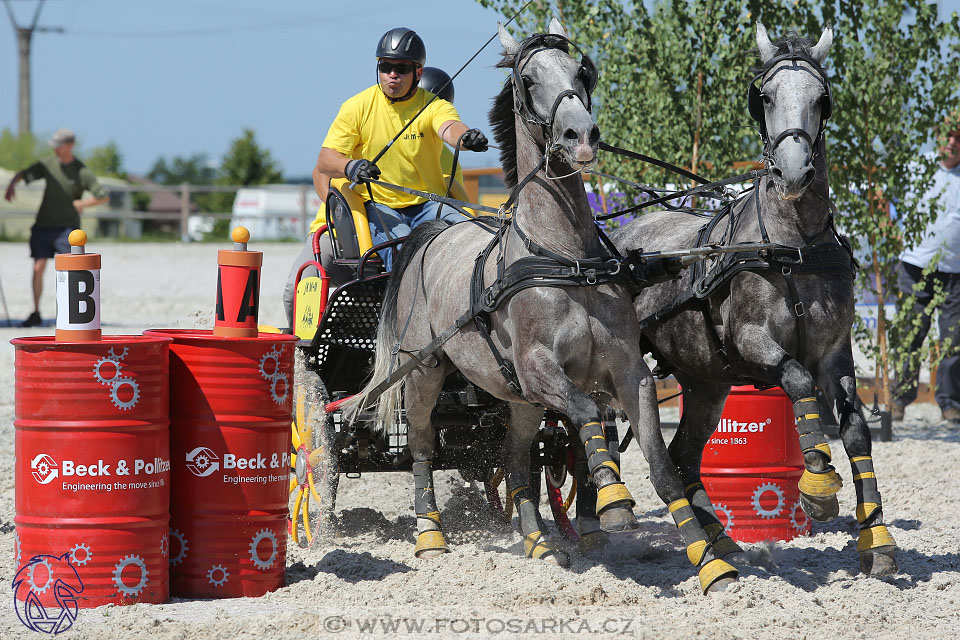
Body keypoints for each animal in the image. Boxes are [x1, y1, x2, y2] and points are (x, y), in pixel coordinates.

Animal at [348, 16, 740, 596]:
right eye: (529, 79)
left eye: (582, 71)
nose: (582, 135)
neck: (566, 258)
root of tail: (433, 234)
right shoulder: (540, 370)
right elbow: (585, 414)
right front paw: (614, 500)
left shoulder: (628, 371)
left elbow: (660, 463)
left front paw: (711, 563)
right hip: (425, 372)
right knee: (421, 446)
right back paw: (430, 536)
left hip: (517, 399)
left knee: (515, 461)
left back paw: (537, 540)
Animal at [616, 23, 900, 576]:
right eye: (763, 97)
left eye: (822, 98)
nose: (793, 173)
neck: (794, 245)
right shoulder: (753, 341)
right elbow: (797, 380)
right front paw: (818, 486)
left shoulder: (835, 353)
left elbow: (856, 430)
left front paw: (876, 540)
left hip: (705, 381)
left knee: (685, 455)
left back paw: (721, 542)